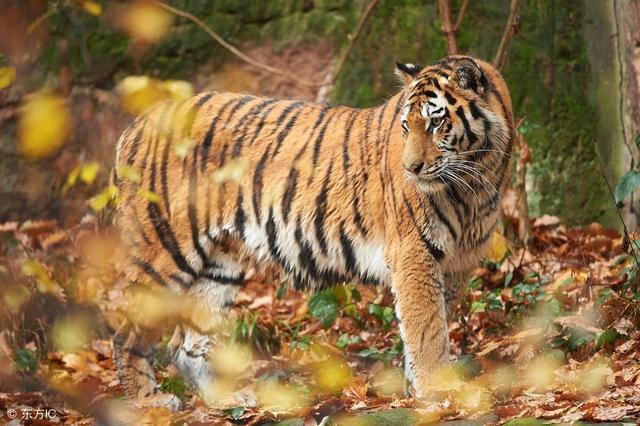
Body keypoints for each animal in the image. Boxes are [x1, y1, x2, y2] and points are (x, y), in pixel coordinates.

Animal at [112, 55, 516, 408]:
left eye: (435, 123)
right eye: (406, 126)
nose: (411, 168)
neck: (475, 182)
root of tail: (136, 125)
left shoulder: (457, 263)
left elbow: (428, 325)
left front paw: (417, 386)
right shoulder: (414, 253)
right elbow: (427, 329)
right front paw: (438, 390)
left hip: (220, 263)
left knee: (185, 342)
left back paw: (225, 400)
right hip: (164, 249)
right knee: (125, 330)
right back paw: (148, 402)